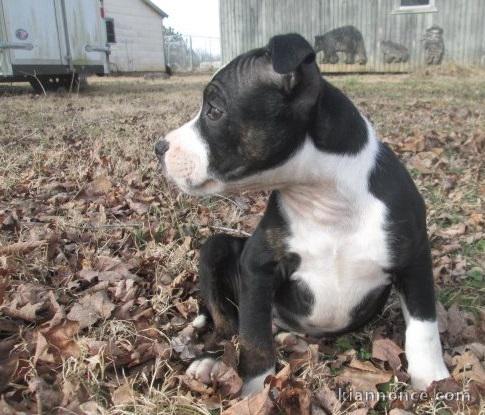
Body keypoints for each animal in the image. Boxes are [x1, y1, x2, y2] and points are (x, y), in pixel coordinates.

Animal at [154, 33, 446, 396]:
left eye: (214, 110)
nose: (159, 147)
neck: (324, 196)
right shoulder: (257, 265)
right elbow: (253, 335)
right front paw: (254, 388)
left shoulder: (415, 258)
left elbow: (424, 325)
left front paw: (434, 380)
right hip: (215, 249)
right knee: (227, 322)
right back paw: (212, 361)